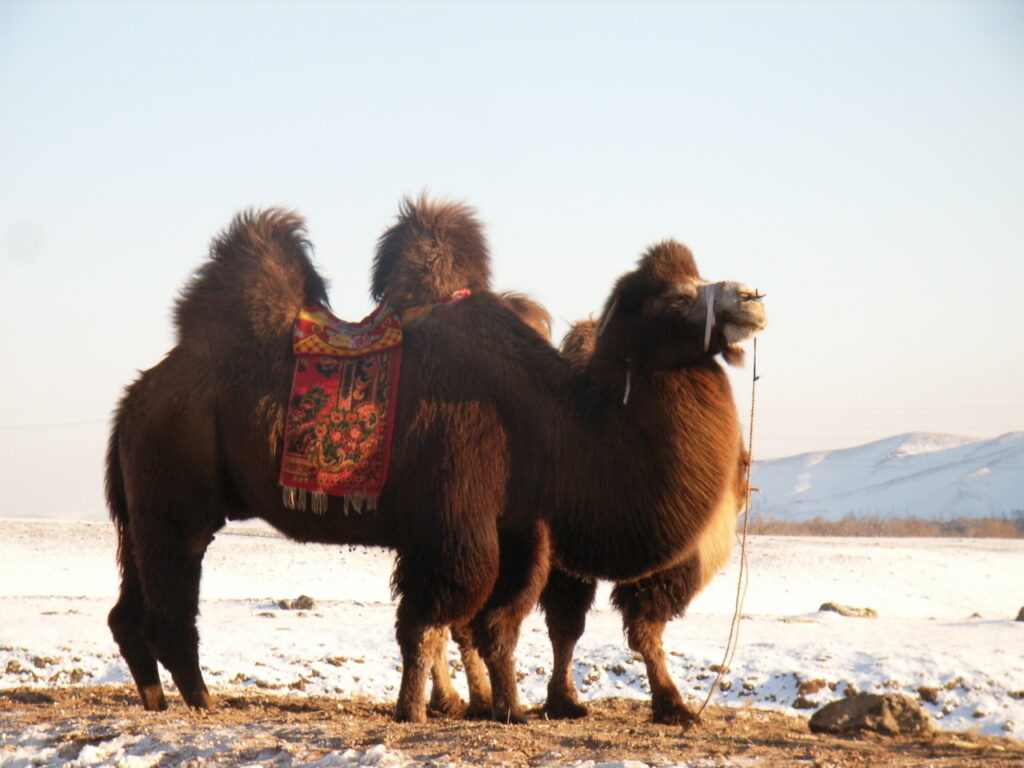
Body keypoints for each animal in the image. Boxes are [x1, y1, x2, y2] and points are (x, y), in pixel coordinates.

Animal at [106, 197, 766, 724]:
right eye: (677, 295)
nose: (753, 298)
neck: (556, 423)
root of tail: (137, 394)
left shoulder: (520, 527)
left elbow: (497, 625)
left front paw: (509, 711)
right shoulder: (454, 518)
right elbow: (429, 620)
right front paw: (415, 710)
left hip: (141, 506)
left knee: (128, 608)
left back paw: (156, 699)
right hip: (174, 488)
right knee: (172, 597)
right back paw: (200, 701)